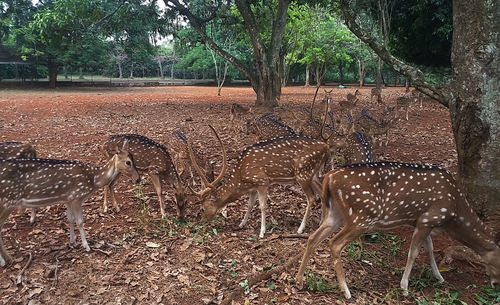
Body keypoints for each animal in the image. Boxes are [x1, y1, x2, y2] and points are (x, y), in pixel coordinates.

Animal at [0, 140, 139, 266]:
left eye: (134, 159)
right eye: (128, 162)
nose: (138, 179)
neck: (94, 179)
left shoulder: (68, 199)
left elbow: (70, 219)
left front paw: (73, 242)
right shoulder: (77, 196)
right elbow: (80, 221)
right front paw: (86, 246)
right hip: (8, 201)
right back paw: (6, 261)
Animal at [189, 124, 330, 236]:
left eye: (203, 208)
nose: (202, 221)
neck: (242, 178)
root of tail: (326, 147)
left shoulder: (262, 181)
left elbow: (262, 206)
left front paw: (262, 232)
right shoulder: (253, 186)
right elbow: (250, 204)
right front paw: (241, 224)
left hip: (303, 173)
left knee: (312, 197)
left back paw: (301, 229)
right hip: (313, 174)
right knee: (322, 193)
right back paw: (321, 223)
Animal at [296, 163, 500, 298]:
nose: (496, 284)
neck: (455, 211)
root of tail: (329, 177)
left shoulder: (421, 222)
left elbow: (430, 248)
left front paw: (440, 277)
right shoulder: (428, 219)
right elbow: (414, 252)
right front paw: (404, 287)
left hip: (336, 213)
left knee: (313, 237)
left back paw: (299, 280)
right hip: (362, 216)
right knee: (334, 243)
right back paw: (346, 291)